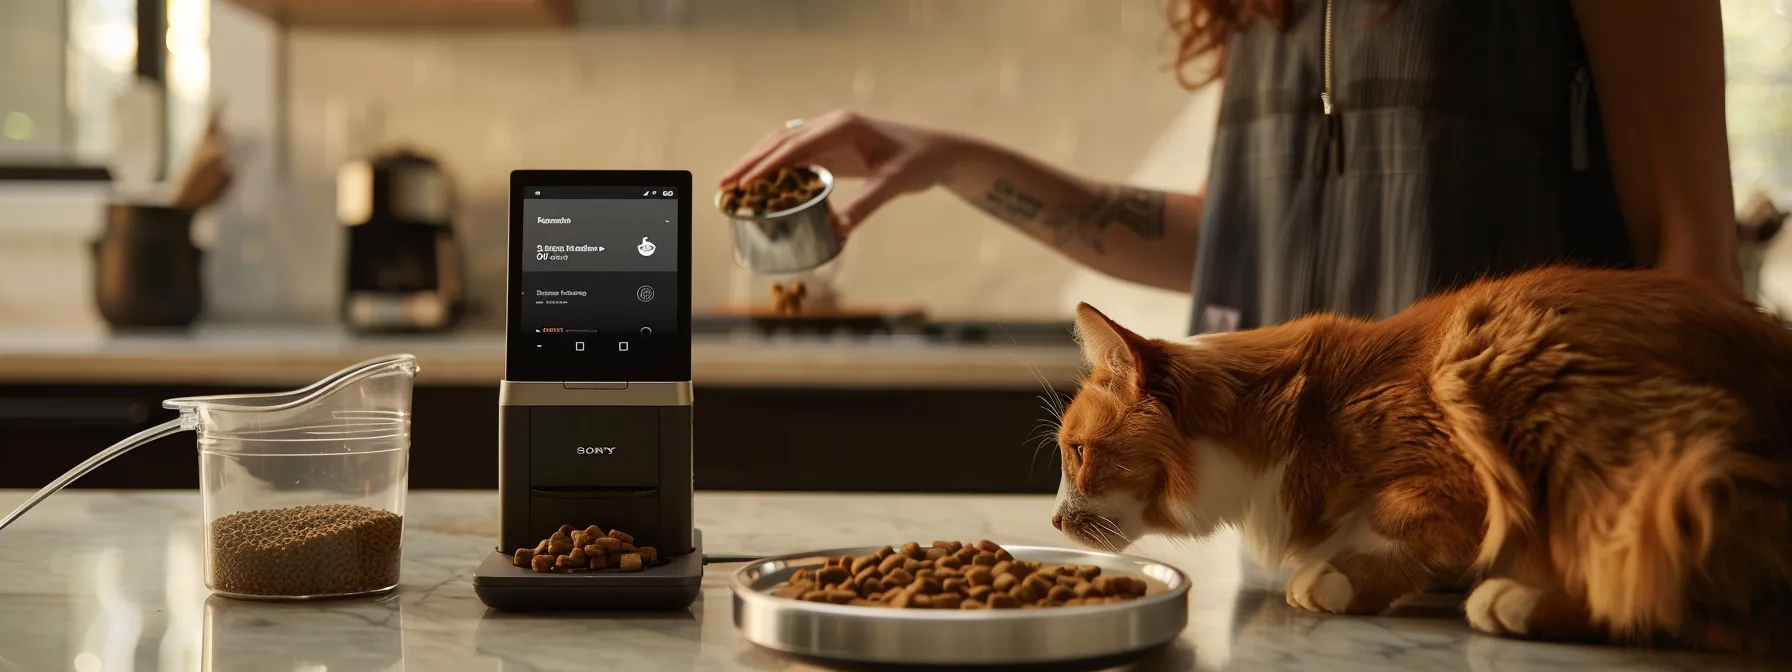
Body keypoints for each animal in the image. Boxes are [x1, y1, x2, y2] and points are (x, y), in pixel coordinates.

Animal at [1046, 265, 1792, 655]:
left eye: (1077, 453)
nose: (1053, 520)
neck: (1298, 418)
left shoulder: (1453, 461)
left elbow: (1405, 525)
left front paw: (1338, 578)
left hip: (1526, 372)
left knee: (1656, 584)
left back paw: (1520, 599)